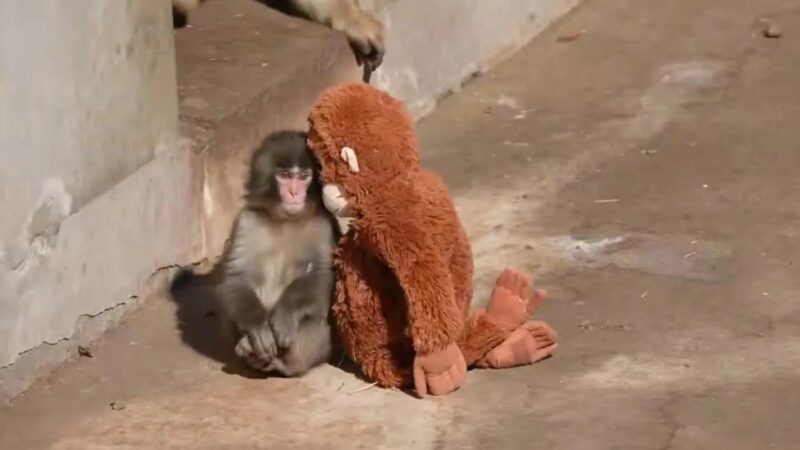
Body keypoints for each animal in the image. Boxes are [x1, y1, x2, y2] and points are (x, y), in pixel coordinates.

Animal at [216, 130, 336, 376]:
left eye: (303, 176)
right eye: (284, 175)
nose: (294, 192)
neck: (286, 220)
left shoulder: (322, 225)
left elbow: (321, 276)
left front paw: (286, 315)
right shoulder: (246, 222)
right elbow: (236, 277)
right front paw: (257, 326)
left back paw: (284, 364)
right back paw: (248, 347)